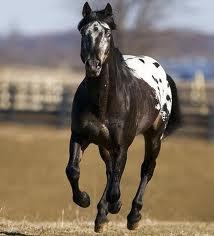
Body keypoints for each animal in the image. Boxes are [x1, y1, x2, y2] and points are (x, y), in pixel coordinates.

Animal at [65, 1, 181, 233]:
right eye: (83, 32)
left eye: (107, 33)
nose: (93, 65)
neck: (103, 101)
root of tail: (163, 72)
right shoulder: (80, 137)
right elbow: (73, 170)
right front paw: (84, 199)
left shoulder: (121, 146)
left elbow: (116, 184)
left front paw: (115, 205)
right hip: (104, 145)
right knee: (110, 172)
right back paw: (101, 216)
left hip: (154, 136)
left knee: (146, 169)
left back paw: (133, 216)